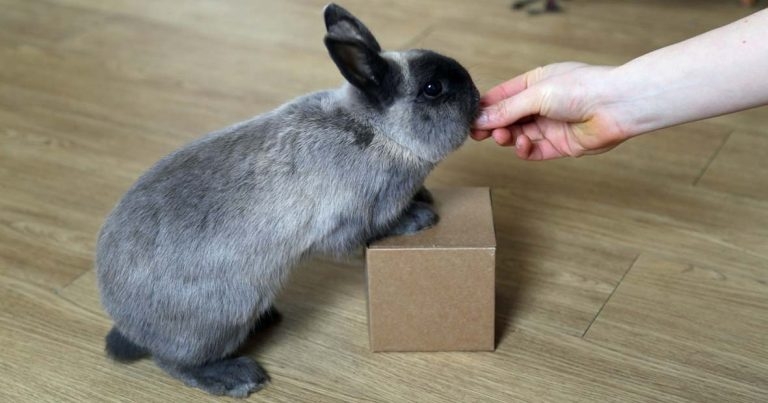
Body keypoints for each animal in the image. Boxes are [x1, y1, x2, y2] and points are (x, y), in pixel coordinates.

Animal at [96, 2, 480, 397]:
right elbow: (377, 227)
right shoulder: (351, 220)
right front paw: (421, 217)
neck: (381, 132)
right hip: (220, 317)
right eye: (433, 89)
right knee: (175, 363)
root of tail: (127, 320)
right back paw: (238, 377)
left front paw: (425, 196)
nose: (477, 94)